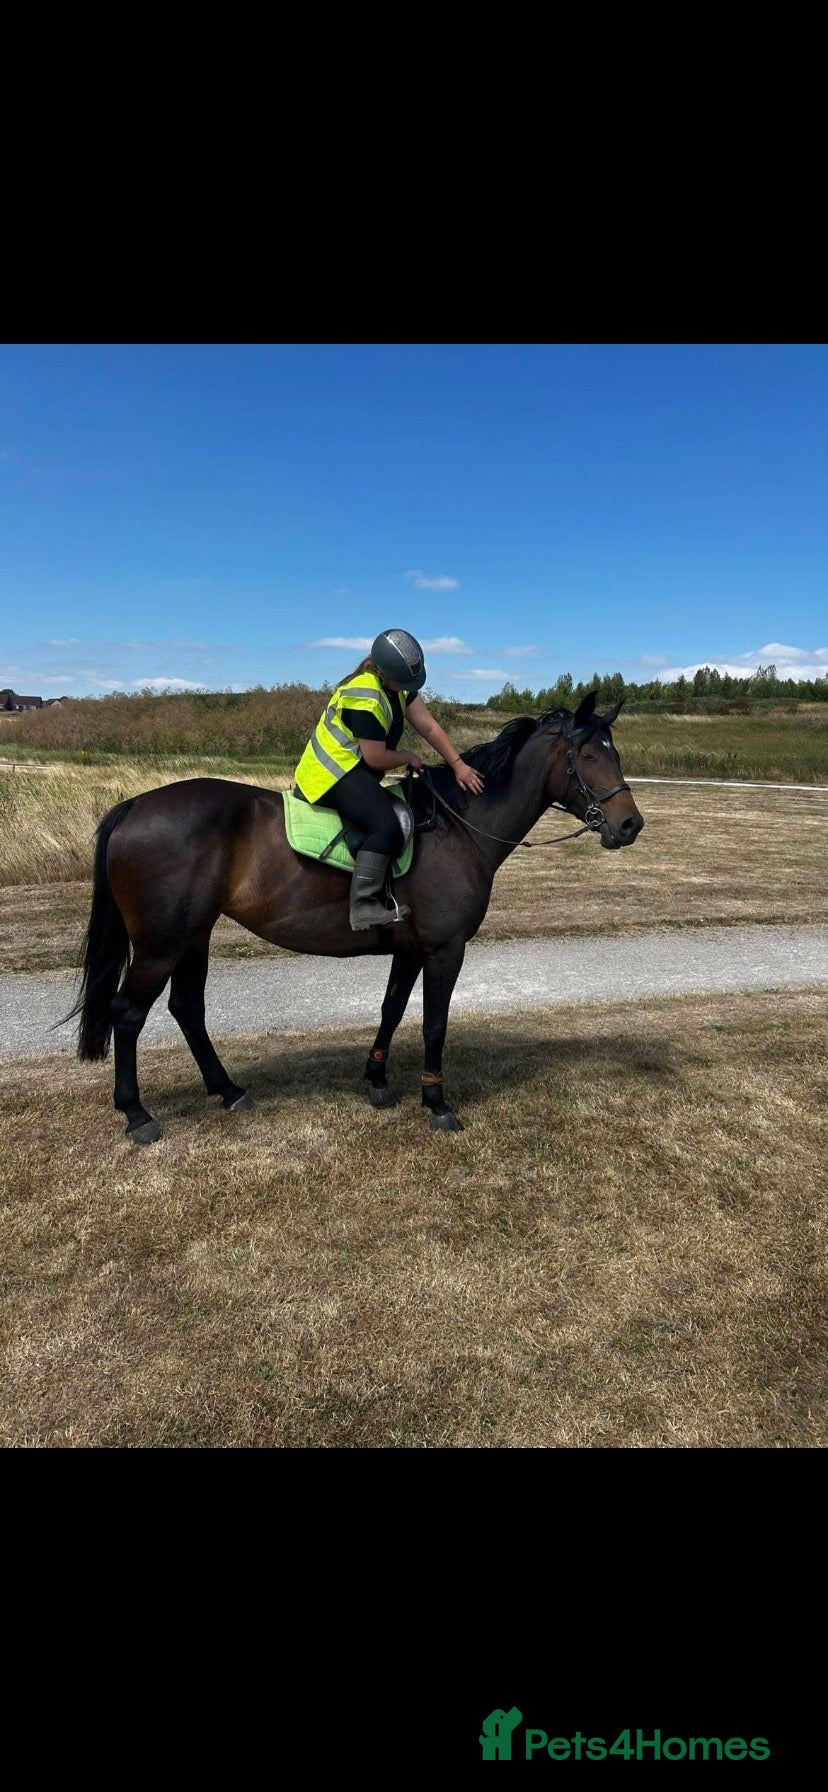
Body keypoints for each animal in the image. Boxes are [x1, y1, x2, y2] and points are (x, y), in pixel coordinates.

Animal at [68, 691, 644, 1141]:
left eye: (615, 753)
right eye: (588, 754)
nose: (630, 824)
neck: (458, 828)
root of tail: (134, 806)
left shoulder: (410, 950)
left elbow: (391, 1009)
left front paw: (377, 1080)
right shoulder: (444, 950)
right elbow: (434, 1024)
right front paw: (436, 1102)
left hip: (194, 936)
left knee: (187, 1009)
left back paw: (228, 1090)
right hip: (161, 944)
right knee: (128, 1014)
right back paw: (137, 1114)